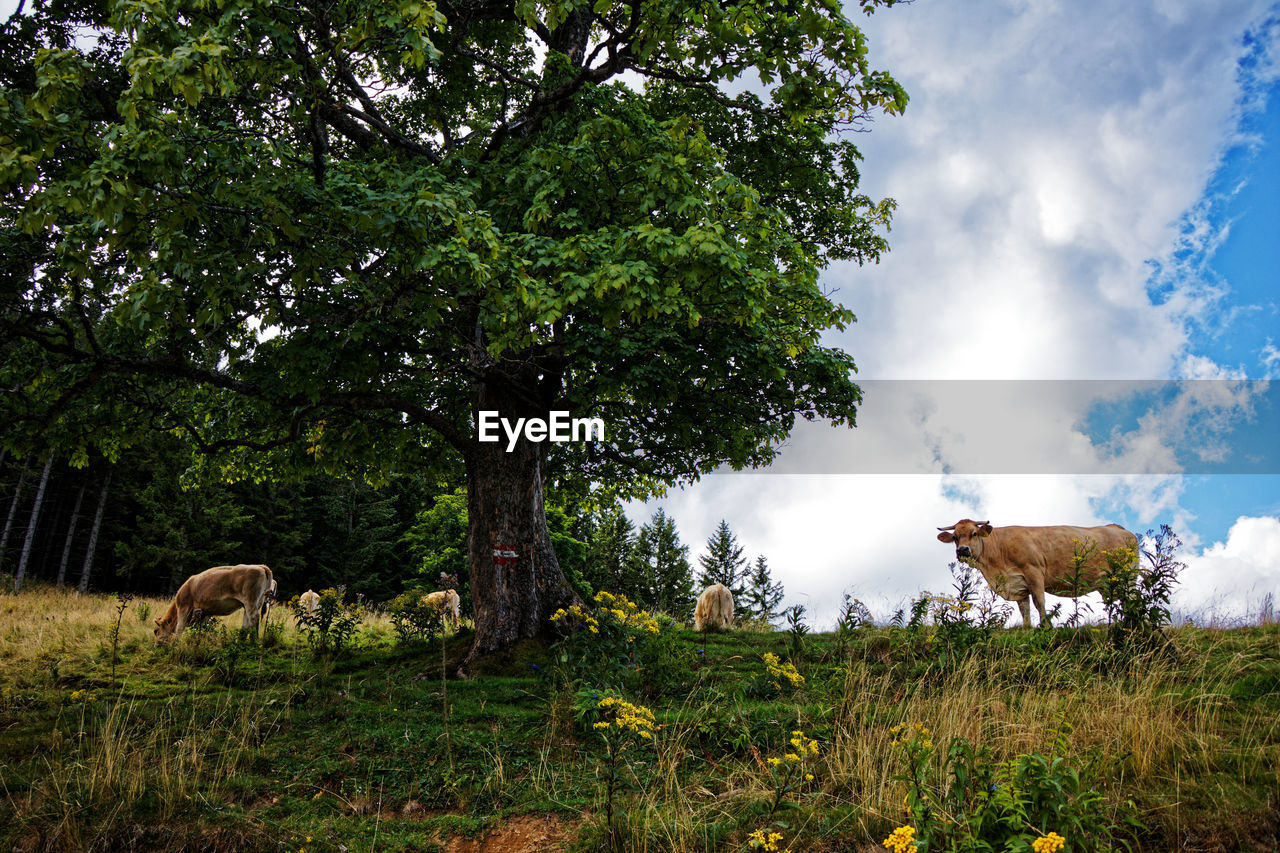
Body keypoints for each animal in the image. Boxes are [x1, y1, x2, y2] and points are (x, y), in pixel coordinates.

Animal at [936, 514, 1136, 627]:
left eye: (974, 533)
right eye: (955, 537)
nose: (963, 550)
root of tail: (1118, 528)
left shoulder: (1034, 571)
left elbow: (1039, 602)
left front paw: (1046, 626)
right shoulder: (1018, 584)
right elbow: (1024, 609)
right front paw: (1027, 628)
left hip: (1128, 575)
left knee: (1132, 598)